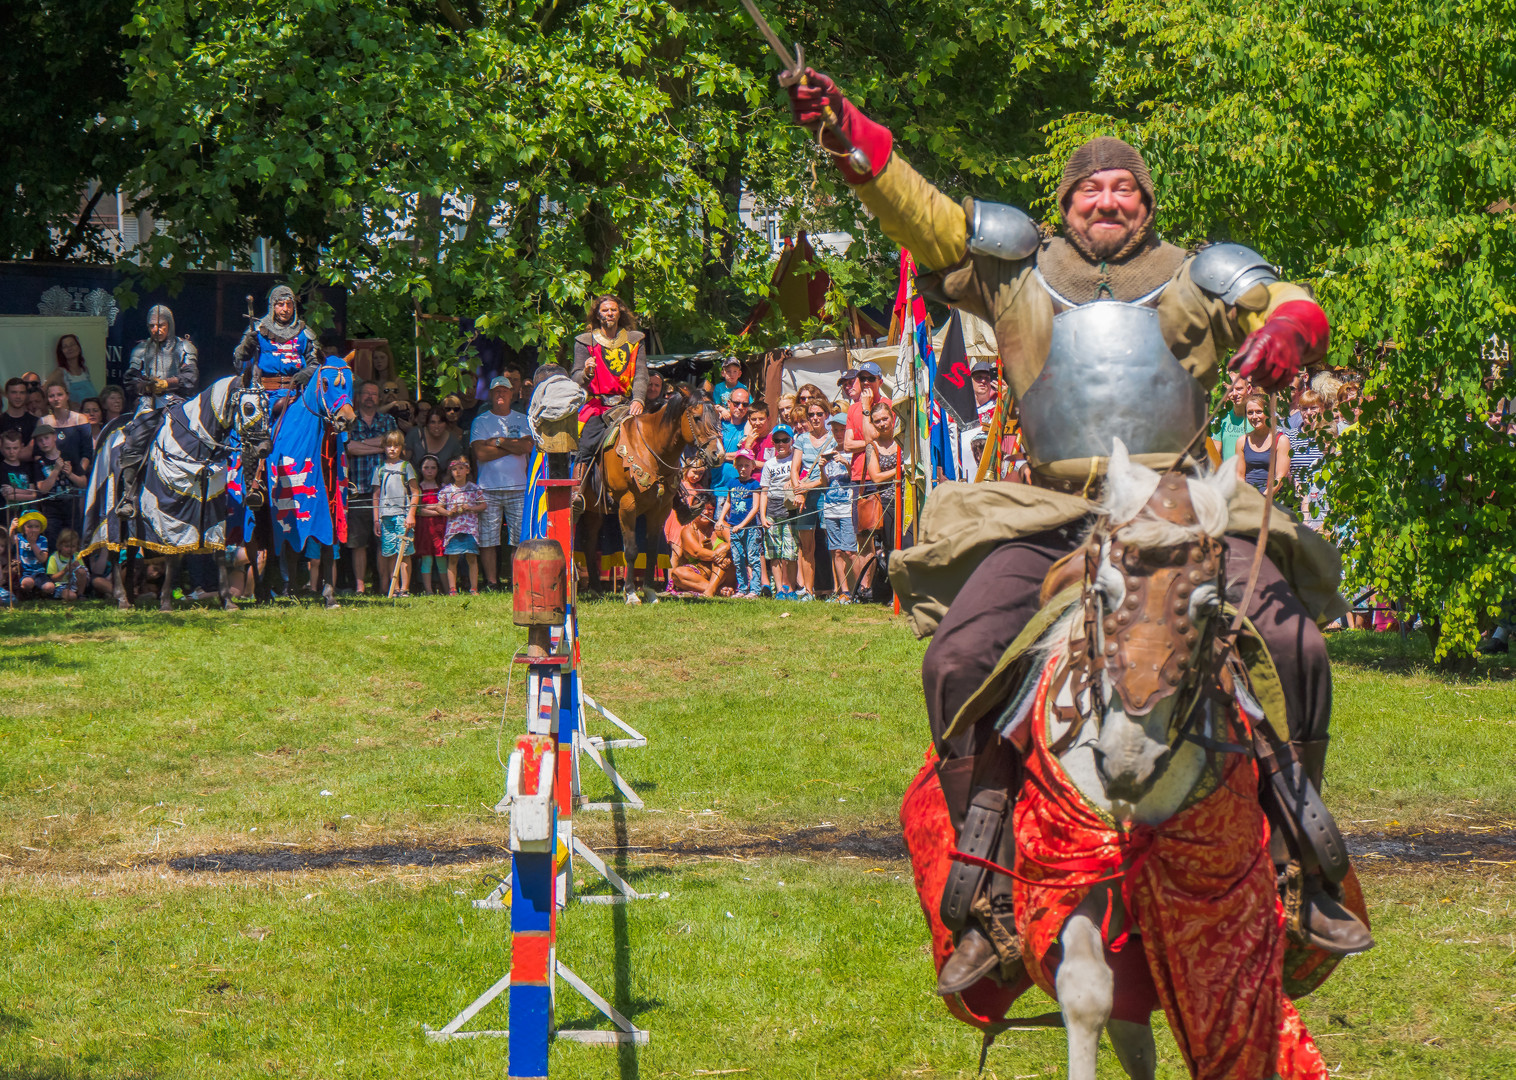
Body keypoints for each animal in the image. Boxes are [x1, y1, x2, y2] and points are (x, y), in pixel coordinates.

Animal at [576, 388, 724, 603]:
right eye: (696, 418)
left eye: (717, 417)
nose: (718, 455)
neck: (650, 449)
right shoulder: (627, 506)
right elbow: (631, 550)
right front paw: (630, 594)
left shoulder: (659, 510)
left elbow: (652, 550)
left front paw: (650, 592)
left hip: (594, 511)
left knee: (589, 543)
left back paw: (596, 589)